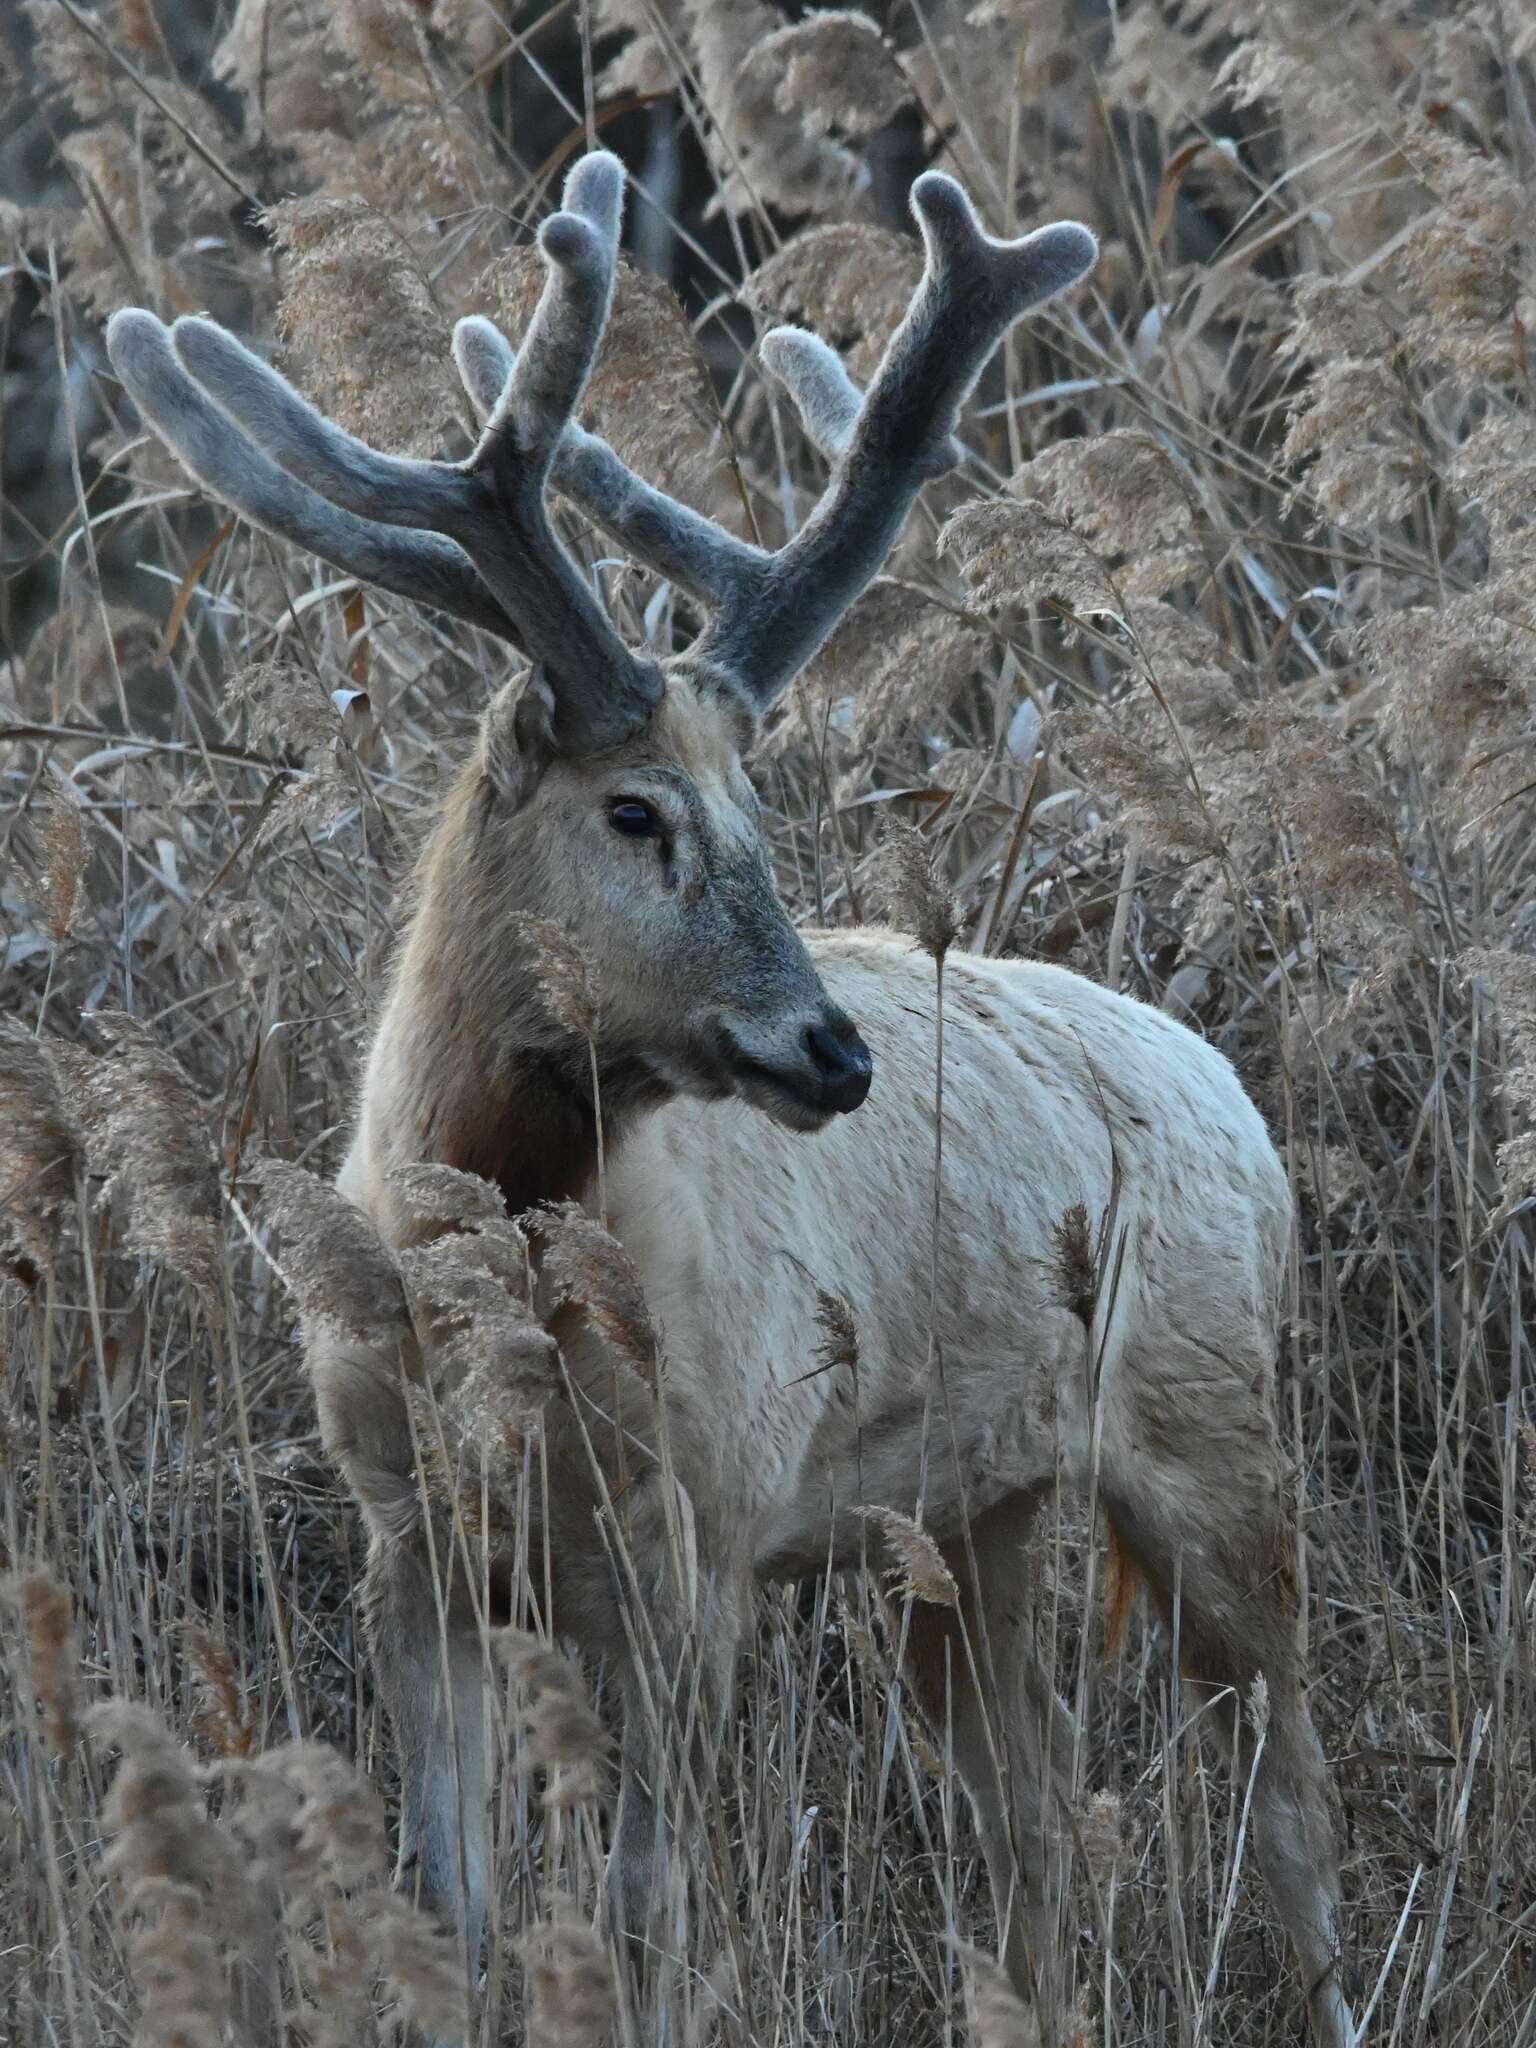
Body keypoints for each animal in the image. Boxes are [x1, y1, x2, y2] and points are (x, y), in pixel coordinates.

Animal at [108, 148, 1359, 2048]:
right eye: (636, 811)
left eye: (759, 808)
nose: (830, 1051)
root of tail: (1231, 1090)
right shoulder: (404, 1530)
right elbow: (449, 1896)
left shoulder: (703, 1518)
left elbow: (648, 1904)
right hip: (972, 1518)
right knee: (1032, 1819)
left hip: (1220, 1431)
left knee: (1287, 1796)